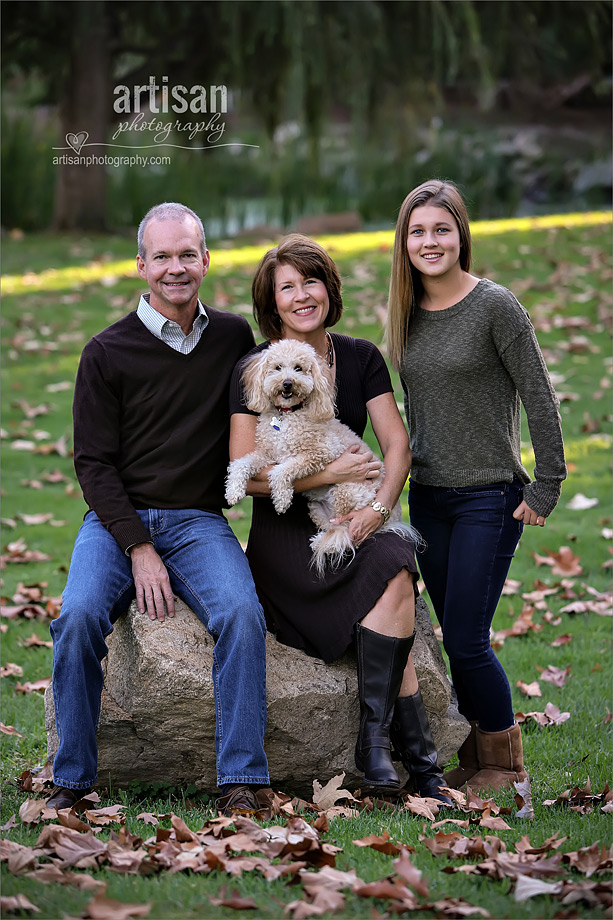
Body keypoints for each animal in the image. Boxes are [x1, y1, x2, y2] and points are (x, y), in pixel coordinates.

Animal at [222, 340, 414, 576]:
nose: (287, 383)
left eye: (298, 368)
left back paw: (327, 543)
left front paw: (282, 499)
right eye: (277, 367)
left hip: (347, 492)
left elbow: (282, 470)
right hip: (316, 508)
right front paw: (233, 491)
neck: (288, 415)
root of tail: (392, 517)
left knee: (349, 529)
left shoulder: (320, 453)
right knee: (336, 526)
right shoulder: (266, 453)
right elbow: (241, 463)